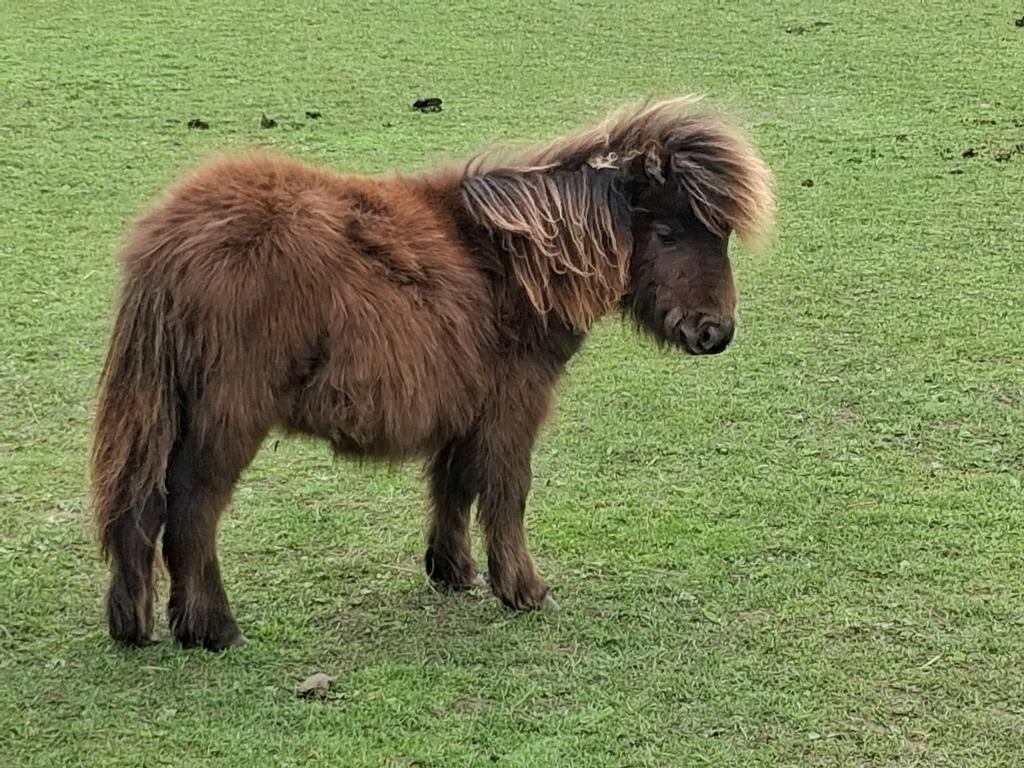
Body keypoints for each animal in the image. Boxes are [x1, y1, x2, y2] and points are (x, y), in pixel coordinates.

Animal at [91, 97, 775, 650]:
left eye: (721, 235)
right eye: (667, 232)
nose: (715, 333)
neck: (520, 259)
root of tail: (170, 243)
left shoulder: (464, 405)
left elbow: (452, 484)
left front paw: (452, 572)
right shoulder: (514, 405)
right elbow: (506, 490)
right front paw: (524, 590)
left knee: (139, 505)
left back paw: (135, 625)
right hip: (229, 416)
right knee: (191, 506)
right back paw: (213, 629)